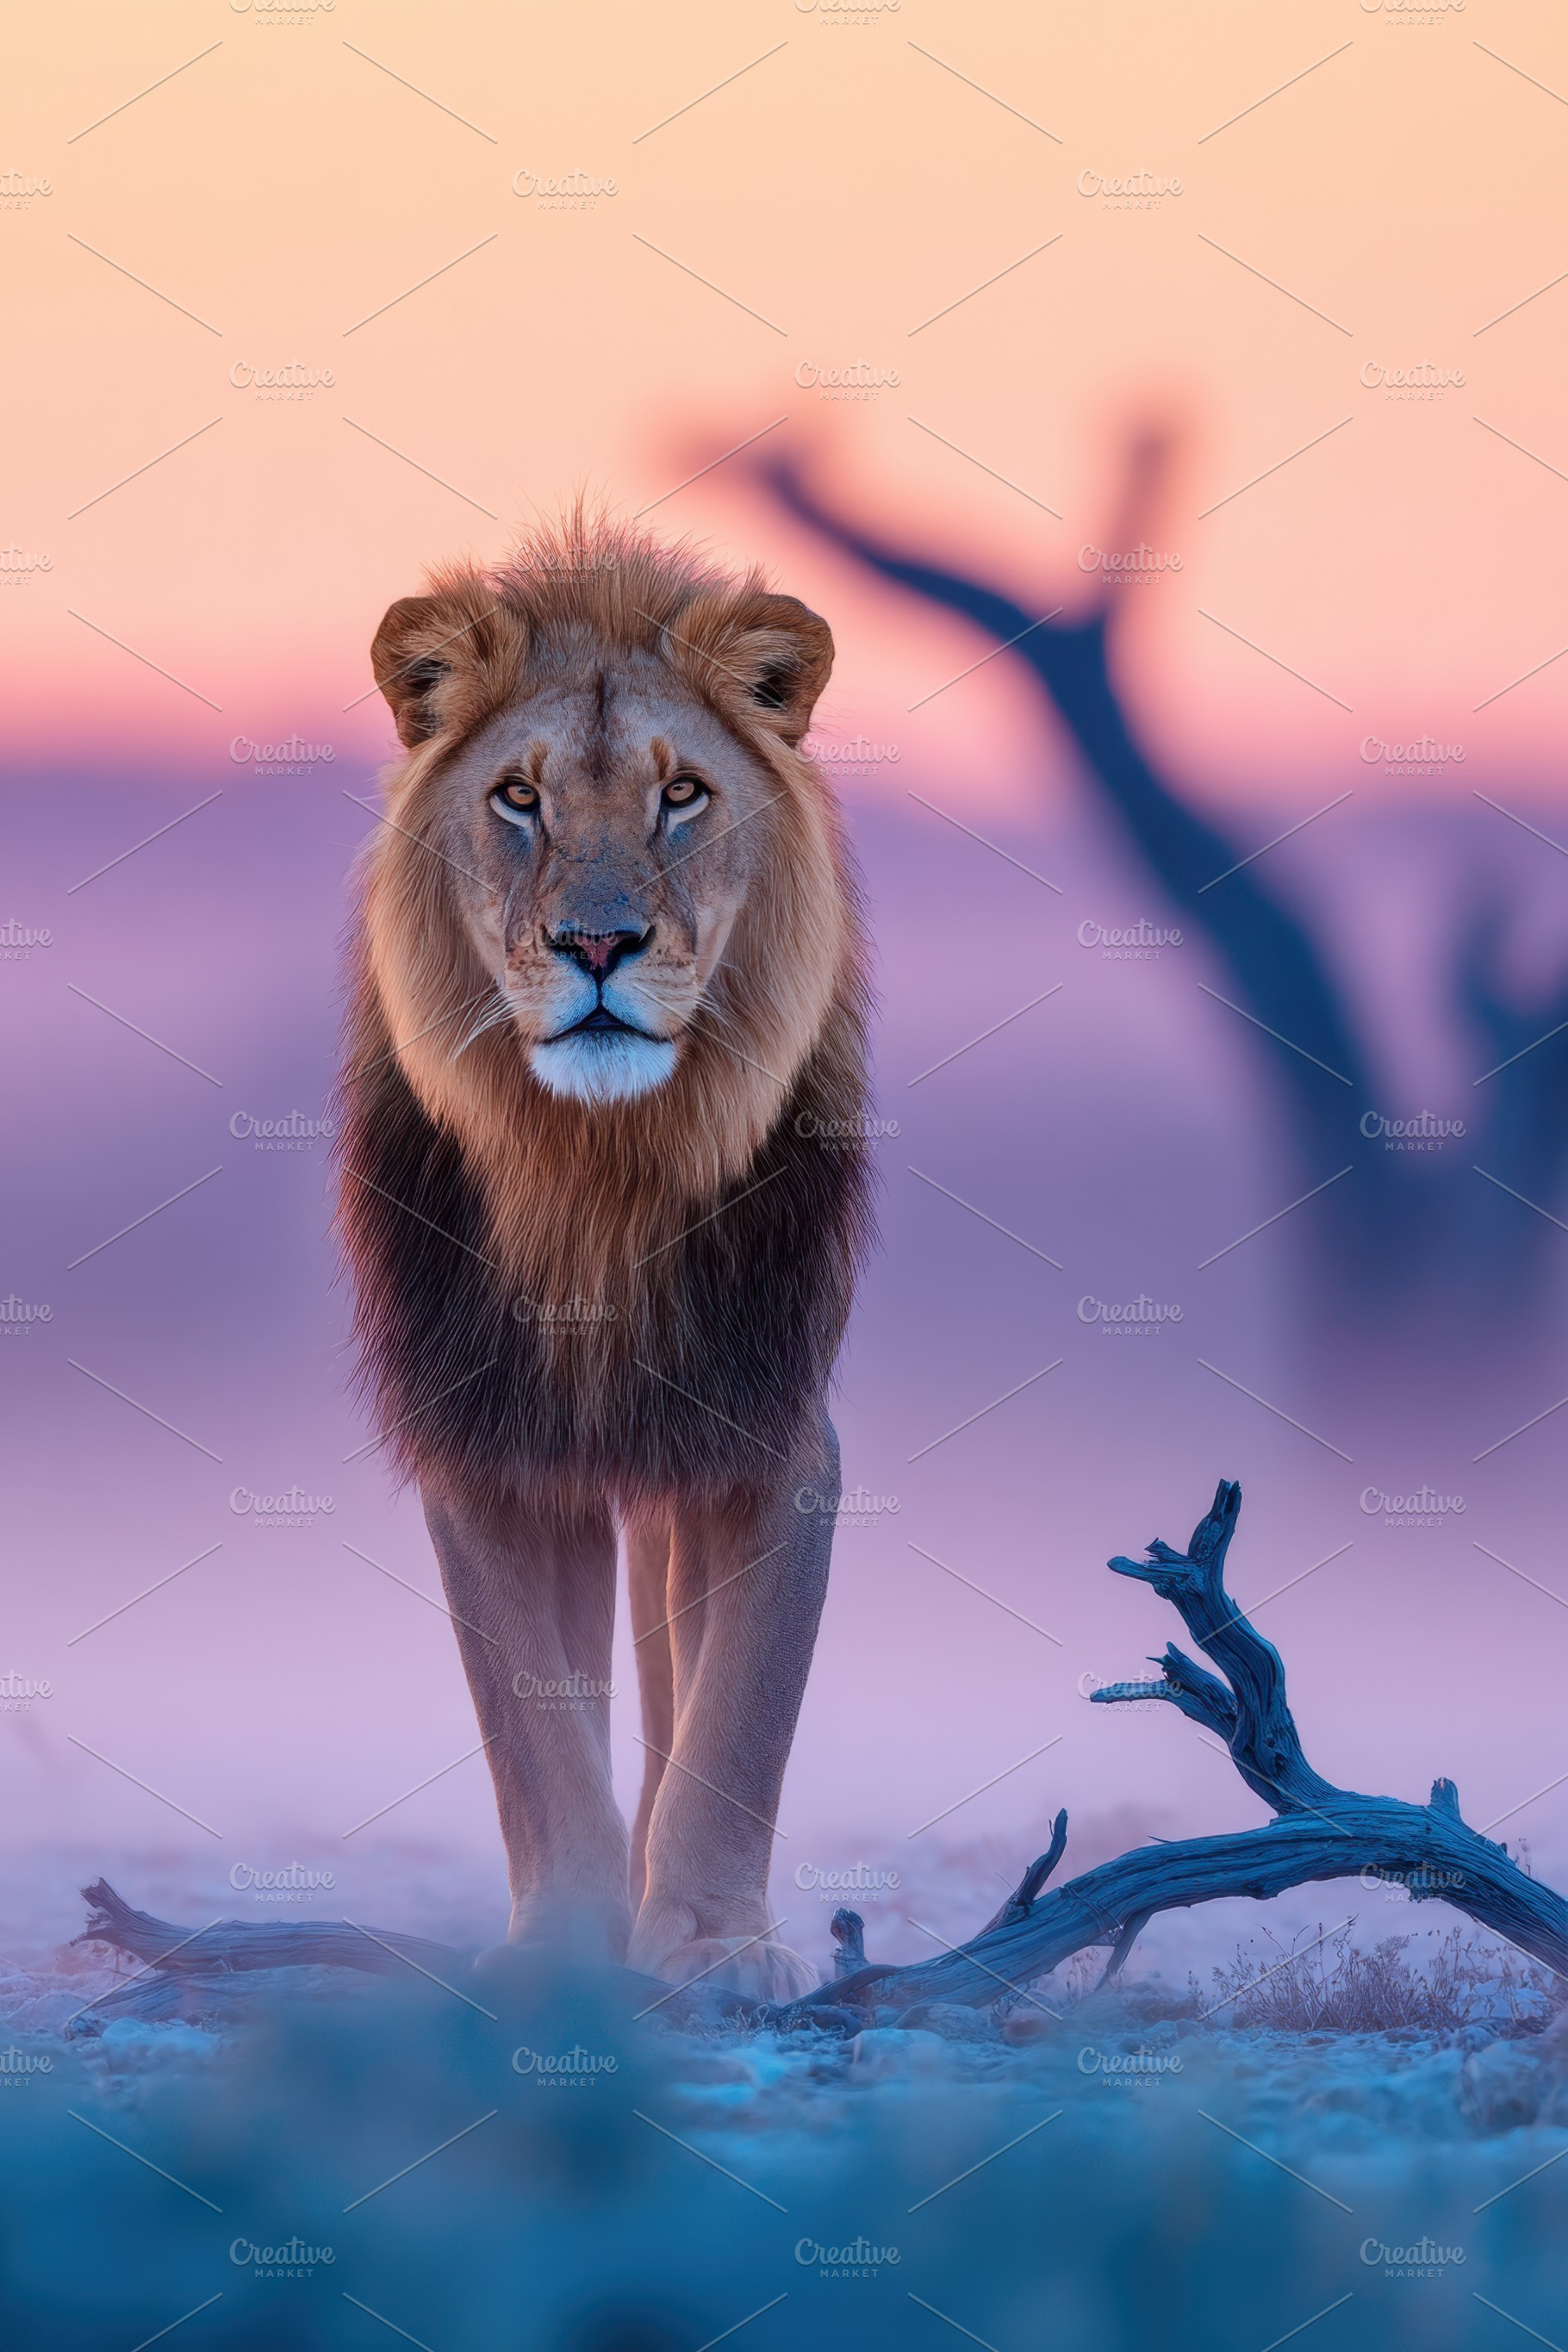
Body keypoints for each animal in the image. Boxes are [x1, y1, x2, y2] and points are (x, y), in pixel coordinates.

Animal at [337, 511, 874, 2000]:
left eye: (681, 793)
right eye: (517, 798)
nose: (595, 942)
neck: (597, 1177)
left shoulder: (771, 1432)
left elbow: (739, 1720)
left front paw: (715, 1942)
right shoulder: (490, 1443)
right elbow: (535, 1743)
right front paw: (569, 1950)